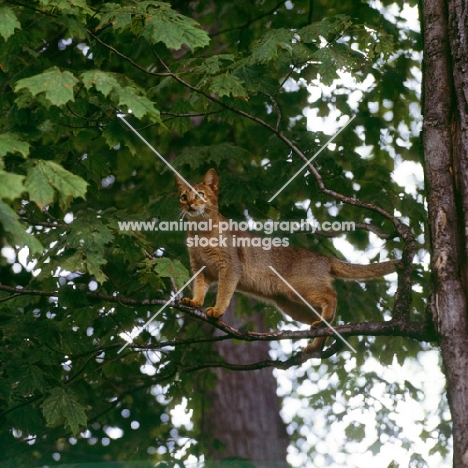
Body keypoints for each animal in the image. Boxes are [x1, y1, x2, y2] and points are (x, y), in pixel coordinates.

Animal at [176, 168, 398, 352]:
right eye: (184, 196)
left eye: (200, 194)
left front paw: (217, 310)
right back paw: (317, 340)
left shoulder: (230, 266)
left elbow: (224, 292)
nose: (189, 203)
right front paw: (194, 302)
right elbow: (198, 287)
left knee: (332, 296)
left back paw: (324, 320)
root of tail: (324, 257)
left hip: (300, 286)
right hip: (289, 303)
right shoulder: (199, 268)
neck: (200, 231)